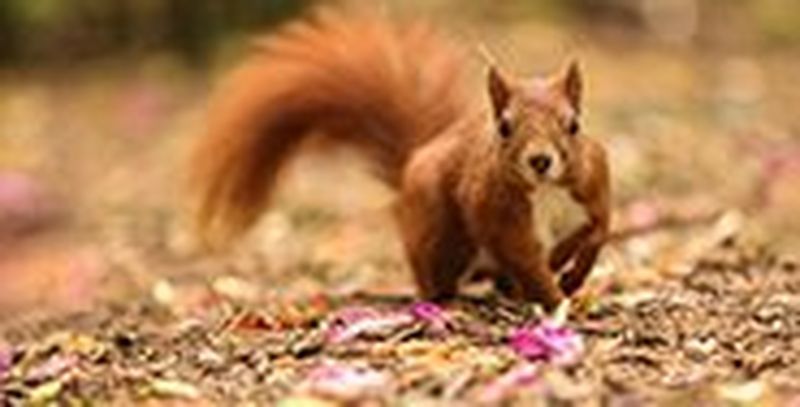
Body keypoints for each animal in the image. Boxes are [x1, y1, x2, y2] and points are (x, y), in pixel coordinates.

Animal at [189, 9, 611, 310]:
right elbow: (523, 257)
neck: (546, 191)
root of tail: (413, 162)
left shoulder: (593, 181)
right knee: (437, 275)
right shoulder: (493, 206)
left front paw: (573, 277)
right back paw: (449, 298)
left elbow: (599, 231)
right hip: (439, 228)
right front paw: (555, 299)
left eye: (574, 125)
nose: (540, 160)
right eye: (504, 127)